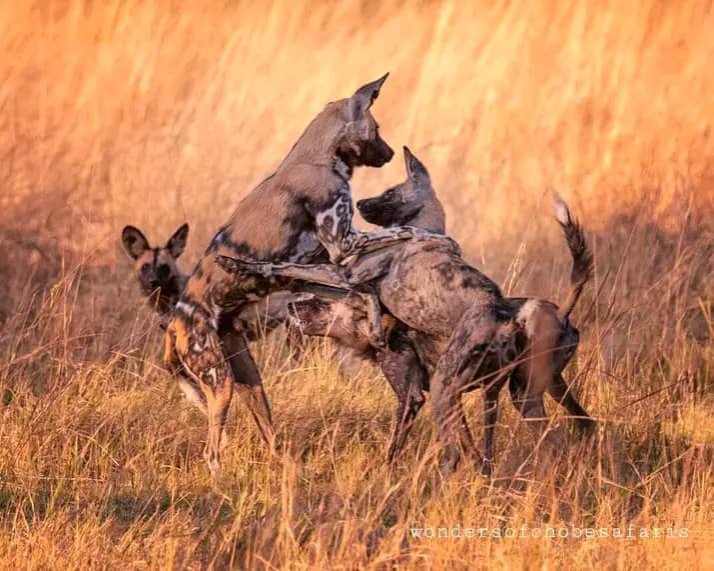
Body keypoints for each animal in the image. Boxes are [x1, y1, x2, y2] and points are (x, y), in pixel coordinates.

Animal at [163, 73, 450, 476]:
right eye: (377, 129)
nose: (392, 153)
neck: (319, 159)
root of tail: (175, 323)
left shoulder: (319, 267)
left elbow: (364, 292)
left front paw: (376, 325)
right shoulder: (343, 244)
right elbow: (404, 231)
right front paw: (433, 237)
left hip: (247, 380)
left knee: (268, 434)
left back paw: (290, 468)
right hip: (220, 386)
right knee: (212, 452)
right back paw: (220, 478)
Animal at [231, 149, 592, 478]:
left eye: (390, 192)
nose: (361, 203)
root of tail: (504, 316)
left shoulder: (347, 279)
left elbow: (287, 267)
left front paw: (241, 264)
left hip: (452, 392)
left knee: (460, 453)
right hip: (521, 392)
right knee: (576, 427)